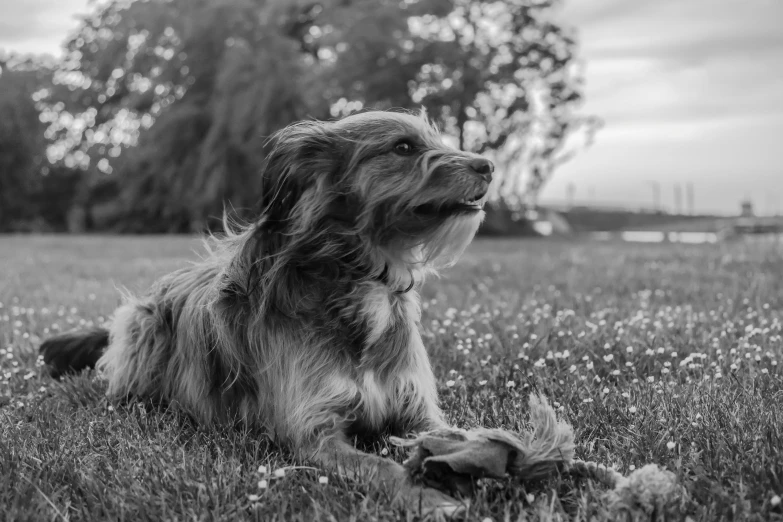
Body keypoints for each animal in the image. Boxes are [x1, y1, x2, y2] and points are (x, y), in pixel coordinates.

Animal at [39, 109, 494, 512]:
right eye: (402, 147)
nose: (488, 165)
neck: (363, 280)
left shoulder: (418, 412)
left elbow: (452, 436)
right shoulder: (313, 434)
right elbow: (380, 468)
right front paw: (429, 499)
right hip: (142, 323)